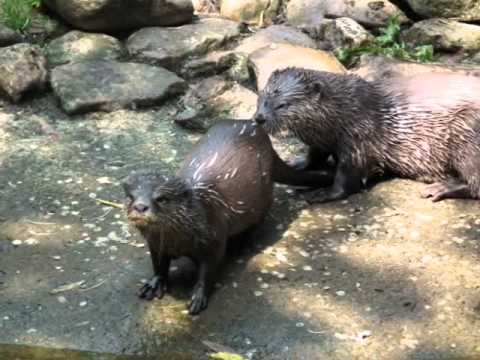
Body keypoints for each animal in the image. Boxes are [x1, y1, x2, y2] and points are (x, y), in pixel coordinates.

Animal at [122, 119, 332, 314]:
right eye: (130, 197)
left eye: (161, 198)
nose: (140, 206)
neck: (179, 239)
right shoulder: (156, 244)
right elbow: (158, 264)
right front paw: (154, 283)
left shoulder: (213, 240)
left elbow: (208, 270)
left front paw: (198, 296)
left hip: (262, 198)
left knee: (257, 221)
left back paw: (243, 244)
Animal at [255, 67, 480, 202]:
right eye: (262, 98)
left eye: (283, 105)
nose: (259, 118)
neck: (345, 111)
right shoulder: (323, 140)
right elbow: (315, 155)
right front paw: (298, 163)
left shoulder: (359, 138)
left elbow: (347, 179)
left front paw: (323, 193)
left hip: (468, 136)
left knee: (474, 181)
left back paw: (440, 188)